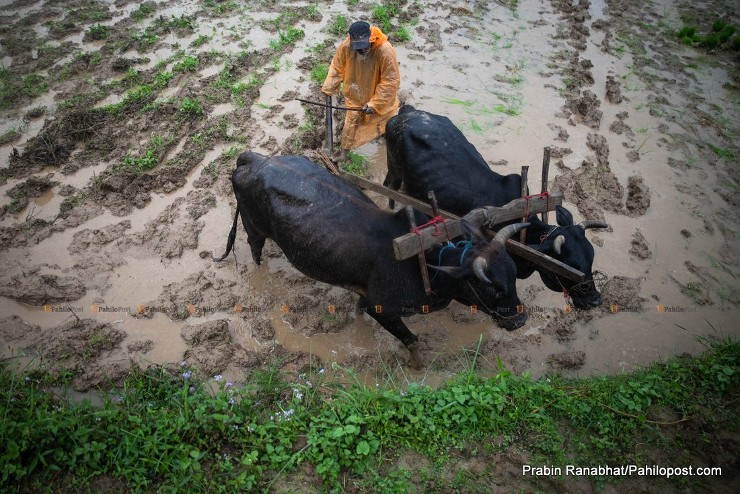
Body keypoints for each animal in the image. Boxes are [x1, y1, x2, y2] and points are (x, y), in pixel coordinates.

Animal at [214, 152, 532, 364]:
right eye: (490, 288)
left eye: (513, 276)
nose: (520, 320)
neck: (427, 264)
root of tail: (254, 159)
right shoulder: (385, 309)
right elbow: (412, 341)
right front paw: (417, 366)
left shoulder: (366, 297)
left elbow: (359, 312)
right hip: (254, 228)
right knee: (255, 249)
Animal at [382, 106, 608, 308]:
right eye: (572, 268)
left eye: (591, 259)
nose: (595, 301)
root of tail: (408, 111)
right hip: (394, 170)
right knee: (388, 186)